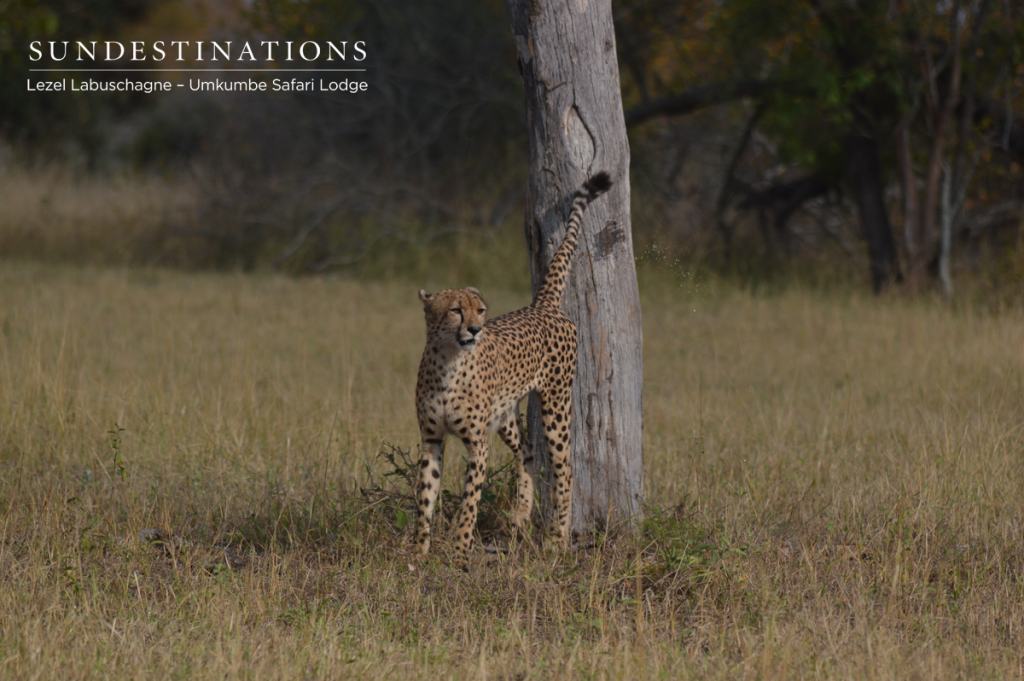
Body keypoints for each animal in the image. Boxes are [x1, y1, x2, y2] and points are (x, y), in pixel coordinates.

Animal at [411, 171, 610, 561]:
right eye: (455, 310)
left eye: (480, 310)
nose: (476, 329)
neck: (448, 362)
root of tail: (541, 305)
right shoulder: (432, 438)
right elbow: (425, 496)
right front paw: (417, 552)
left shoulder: (478, 444)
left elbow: (470, 502)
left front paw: (460, 551)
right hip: (504, 415)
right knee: (528, 451)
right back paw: (520, 515)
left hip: (556, 405)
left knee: (565, 470)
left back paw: (558, 538)